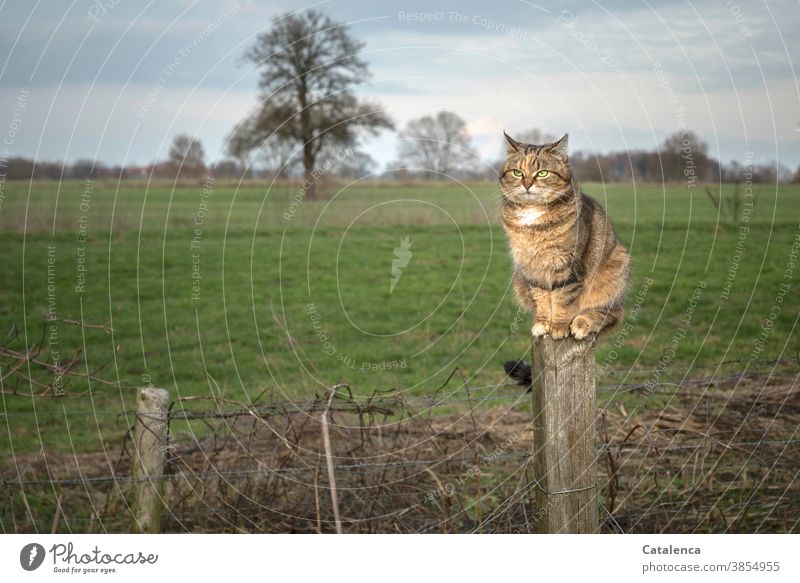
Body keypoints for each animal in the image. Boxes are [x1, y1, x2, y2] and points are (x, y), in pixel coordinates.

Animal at [500, 131, 632, 356]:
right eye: (517, 172)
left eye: (542, 173)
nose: (527, 184)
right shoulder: (532, 268)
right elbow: (542, 297)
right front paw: (544, 324)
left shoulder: (568, 267)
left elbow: (562, 298)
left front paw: (559, 328)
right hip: (519, 278)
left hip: (616, 267)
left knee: (611, 314)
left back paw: (581, 324)